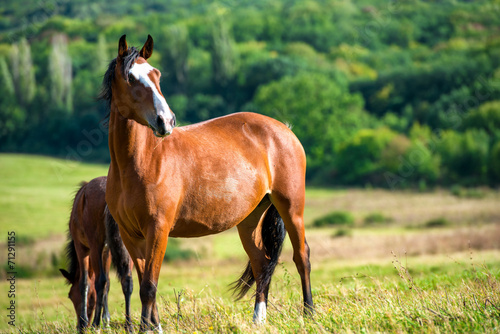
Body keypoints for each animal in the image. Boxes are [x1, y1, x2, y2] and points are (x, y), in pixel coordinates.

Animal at [60, 176, 134, 332]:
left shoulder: (82, 248)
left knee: (100, 281)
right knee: (127, 280)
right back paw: (129, 325)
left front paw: (89, 323)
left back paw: (95, 323)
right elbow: (108, 284)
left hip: (94, 246)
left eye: (70, 296)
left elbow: (85, 282)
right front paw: (106, 321)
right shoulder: (107, 251)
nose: (79, 324)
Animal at [102, 35, 312, 332]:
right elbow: (144, 283)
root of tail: (284, 129)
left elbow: (150, 286)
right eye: (130, 77)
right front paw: (152, 326)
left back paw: (309, 314)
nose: (166, 121)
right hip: (250, 219)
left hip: (291, 208)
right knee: (262, 263)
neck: (141, 162)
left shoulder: (158, 230)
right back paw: (258, 320)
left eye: (157, 74)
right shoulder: (131, 235)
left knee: (301, 257)